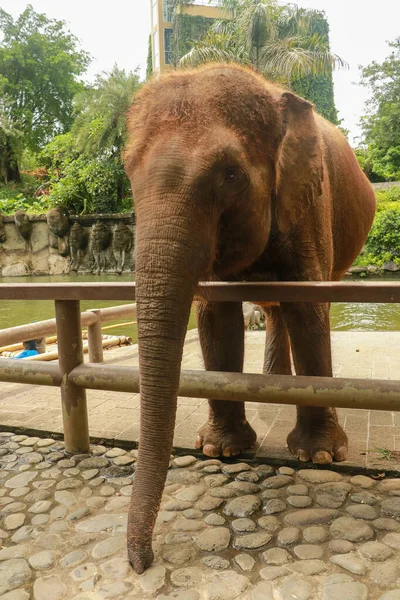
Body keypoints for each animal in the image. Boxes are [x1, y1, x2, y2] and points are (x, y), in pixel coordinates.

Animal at [123, 62, 376, 572]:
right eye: (126, 172)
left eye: (231, 174)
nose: (141, 562)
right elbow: (216, 316)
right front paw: (222, 449)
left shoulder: (308, 198)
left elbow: (307, 307)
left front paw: (320, 455)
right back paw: (272, 383)